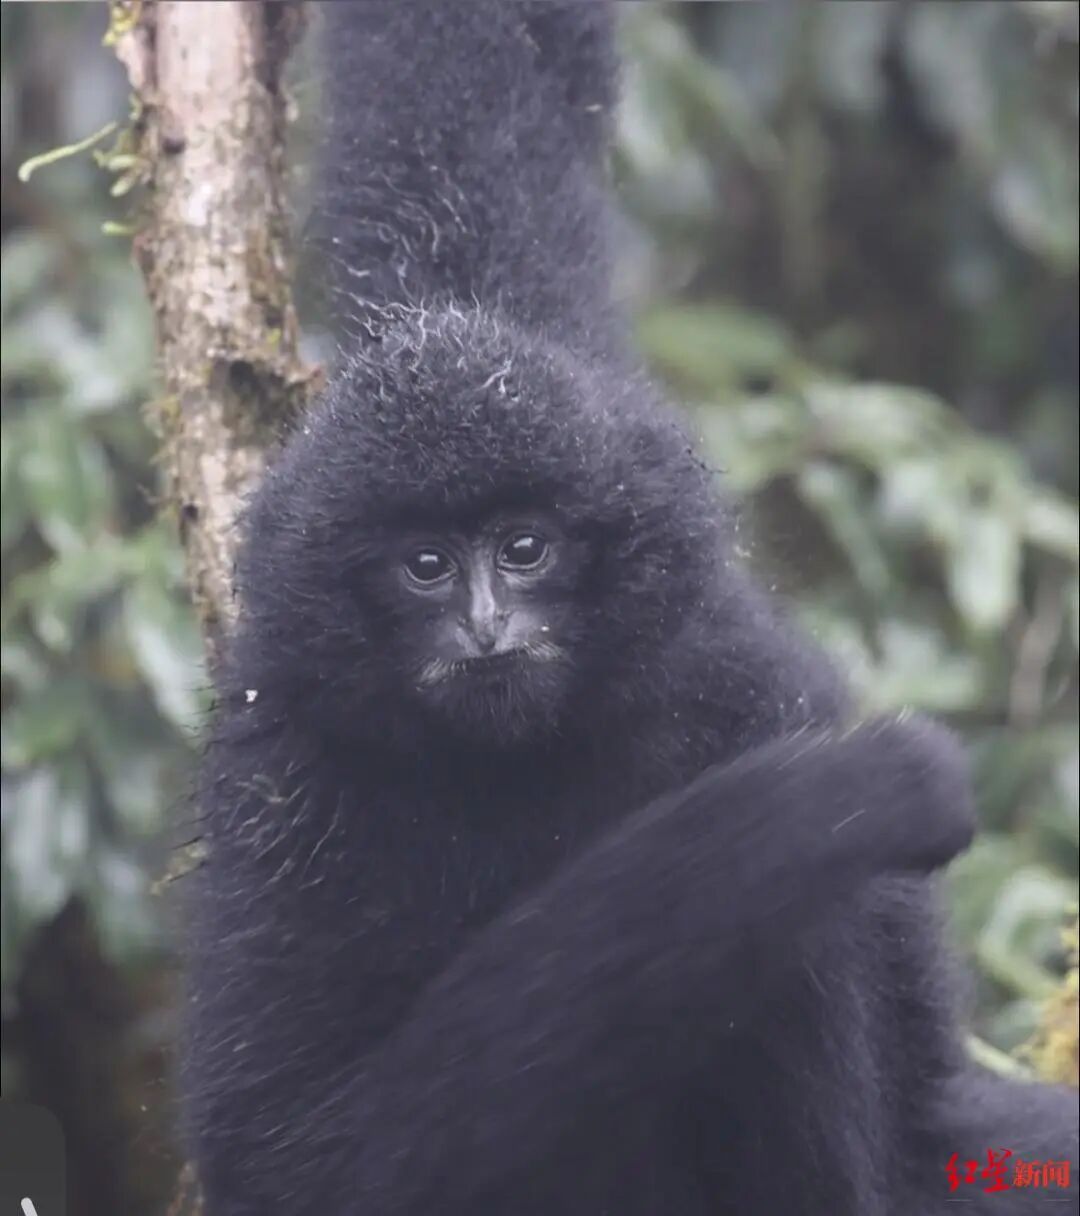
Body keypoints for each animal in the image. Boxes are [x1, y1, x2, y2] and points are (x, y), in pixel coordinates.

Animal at [181, 3, 1079, 1214]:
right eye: (426, 565)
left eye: (524, 550)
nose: (486, 625)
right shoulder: (285, 777)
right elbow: (296, 1150)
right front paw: (839, 799)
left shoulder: (733, 676)